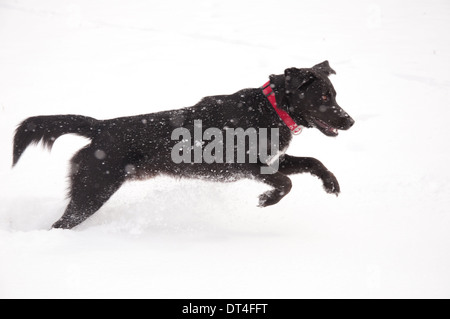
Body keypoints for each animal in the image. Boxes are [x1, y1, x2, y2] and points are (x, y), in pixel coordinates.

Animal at [12, 60, 354, 230]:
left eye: (335, 95)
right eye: (324, 97)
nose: (350, 121)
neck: (270, 108)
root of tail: (102, 126)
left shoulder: (272, 160)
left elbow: (313, 162)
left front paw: (331, 184)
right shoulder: (245, 164)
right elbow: (285, 184)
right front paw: (266, 199)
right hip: (93, 190)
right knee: (62, 223)